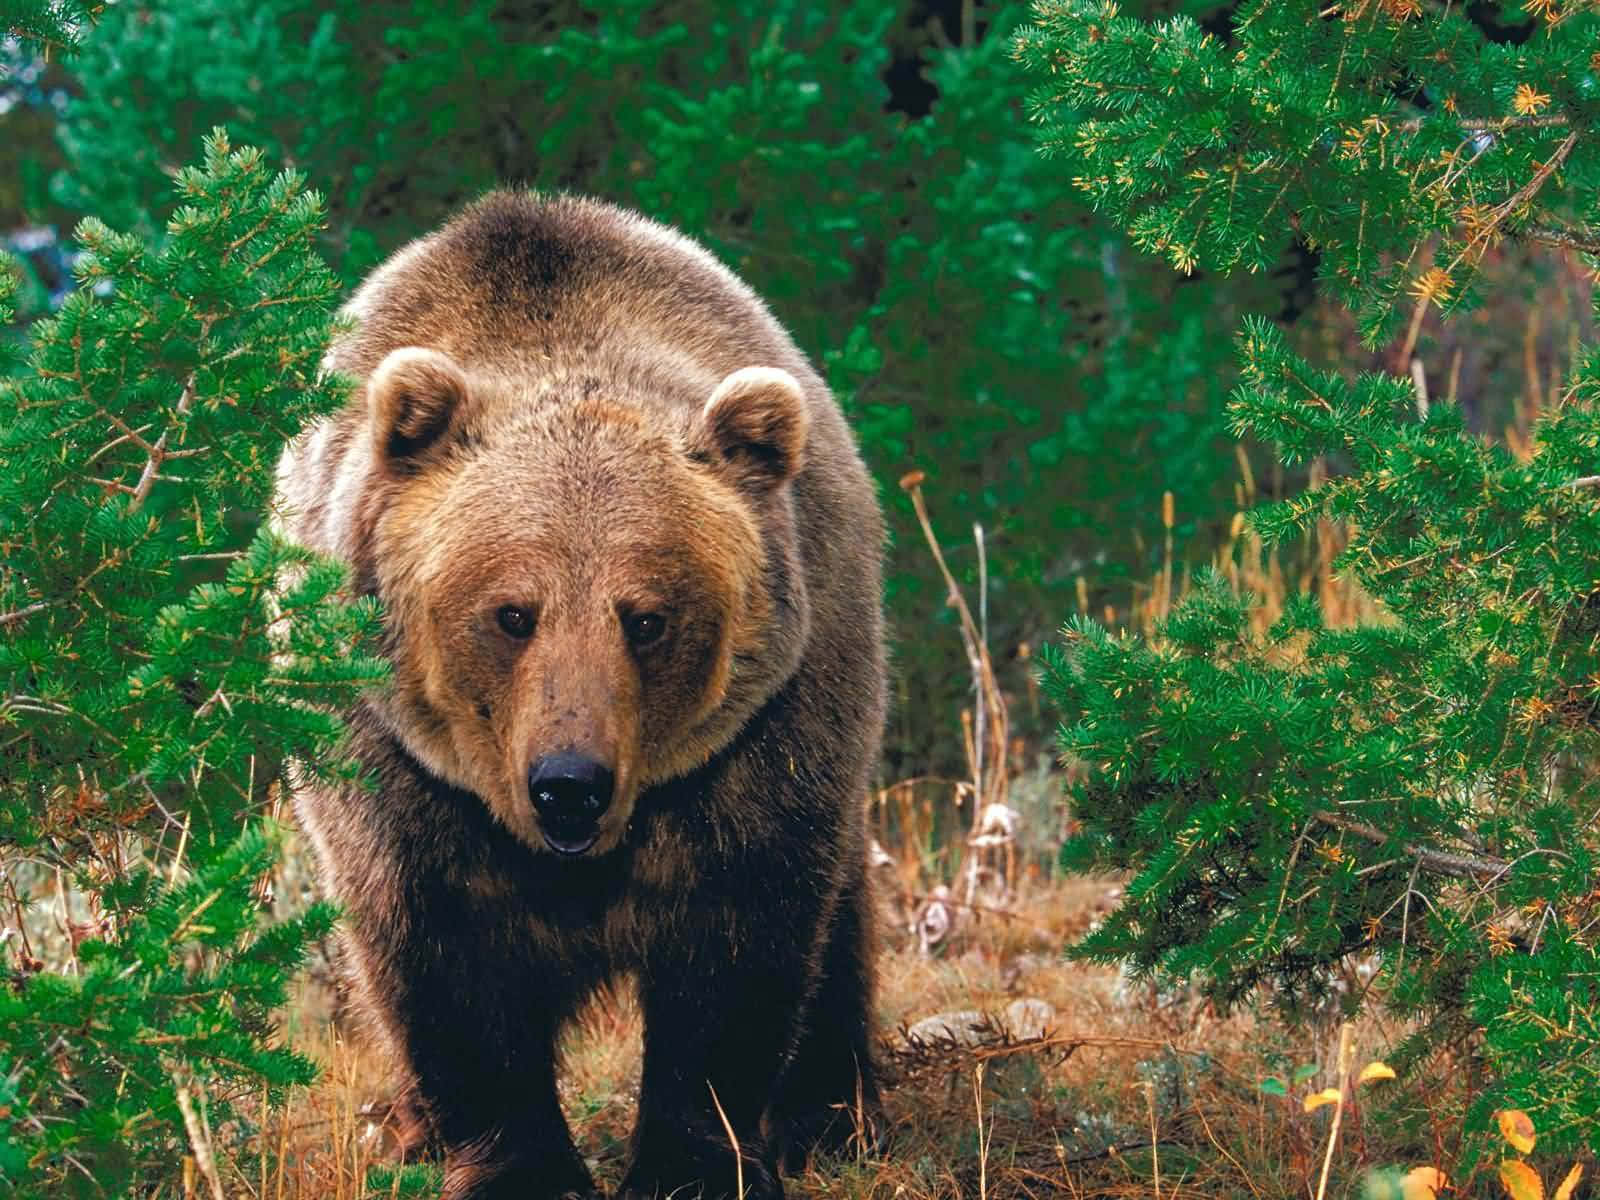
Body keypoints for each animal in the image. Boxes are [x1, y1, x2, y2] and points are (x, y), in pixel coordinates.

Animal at [268, 192, 883, 1196]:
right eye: (512, 612)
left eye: (648, 617)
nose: (569, 783)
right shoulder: (395, 764)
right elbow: (445, 954)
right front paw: (518, 1165)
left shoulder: (761, 741)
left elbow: (736, 942)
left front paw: (691, 1160)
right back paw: (405, 1127)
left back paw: (830, 1114)